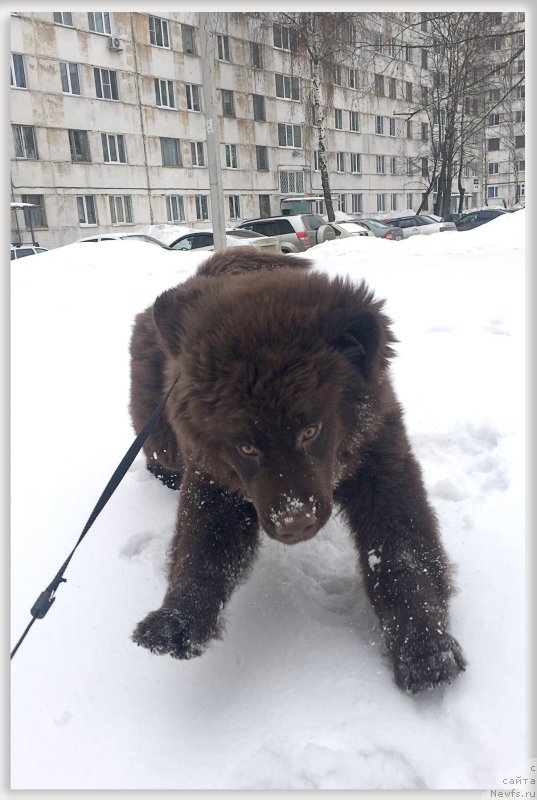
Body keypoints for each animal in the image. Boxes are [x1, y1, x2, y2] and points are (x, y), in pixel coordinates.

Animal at [130, 250, 464, 692]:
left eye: (311, 430)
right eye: (246, 446)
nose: (295, 523)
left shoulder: (381, 458)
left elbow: (403, 552)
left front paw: (426, 648)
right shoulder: (214, 476)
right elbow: (203, 548)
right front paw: (177, 623)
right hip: (160, 428)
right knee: (156, 450)